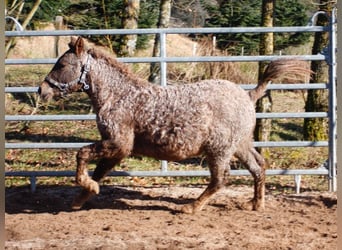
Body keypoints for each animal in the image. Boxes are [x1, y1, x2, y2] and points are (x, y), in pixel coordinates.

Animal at [38, 36, 310, 214]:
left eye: (61, 65)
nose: (41, 90)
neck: (119, 96)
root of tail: (249, 95)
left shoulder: (118, 143)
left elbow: (82, 154)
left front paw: (87, 187)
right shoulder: (117, 148)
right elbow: (99, 171)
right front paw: (81, 198)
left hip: (219, 150)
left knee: (221, 178)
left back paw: (191, 207)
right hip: (240, 145)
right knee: (258, 167)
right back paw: (255, 204)